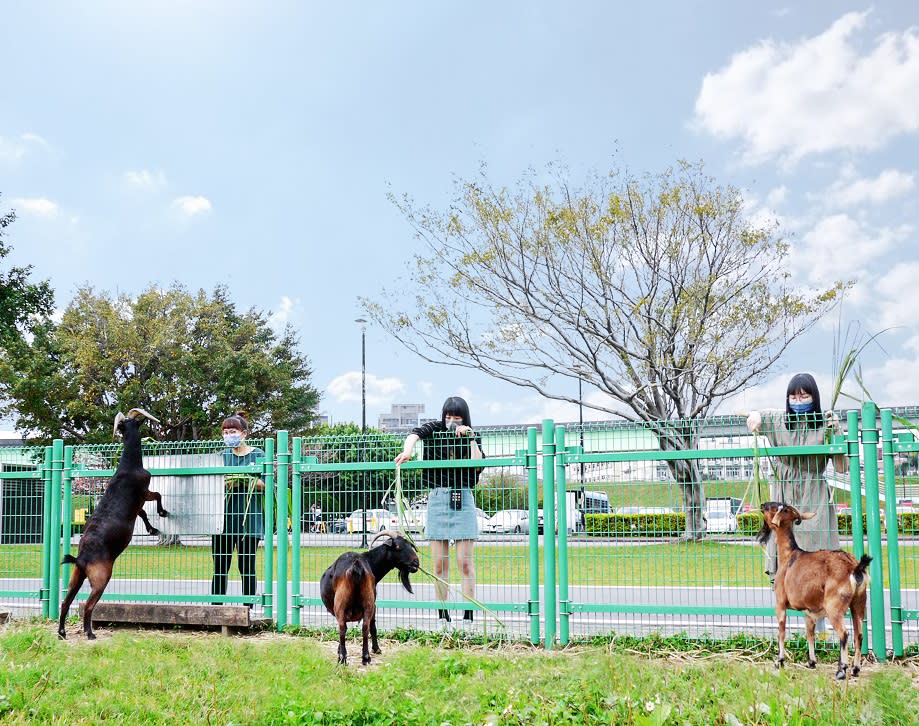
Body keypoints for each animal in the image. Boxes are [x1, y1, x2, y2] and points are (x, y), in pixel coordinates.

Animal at [57, 410, 168, 644]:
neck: (128, 465)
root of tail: (81, 558)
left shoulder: (138, 505)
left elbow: (143, 514)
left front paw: (152, 529)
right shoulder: (144, 492)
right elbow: (156, 497)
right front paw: (161, 517)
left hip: (76, 576)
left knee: (66, 602)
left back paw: (62, 633)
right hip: (100, 577)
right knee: (89, 605)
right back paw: (90, 633)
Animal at [320, 532, 420, 668]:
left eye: (410, 545)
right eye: (398, 547)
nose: (416, 563)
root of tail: (356, 567)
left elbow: (372, 626)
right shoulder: (373, 604)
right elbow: (372, 626)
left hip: (345, 606)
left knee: (345, 628)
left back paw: (345, 659)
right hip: (366, 604)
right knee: (363, 627)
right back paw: (364, 658)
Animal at [760, 504, 868, 680]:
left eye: (773, 507)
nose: (762, 505)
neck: (788, 556)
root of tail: (854, 568)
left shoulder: (780, 602)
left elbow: (781, 631)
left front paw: (779, 661)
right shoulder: (809, 611)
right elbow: (810, 633)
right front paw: (811, 662)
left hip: (834, 606)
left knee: (844, 634)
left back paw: (841, 670)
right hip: (859, 602)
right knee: (859, 634)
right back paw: (855, 669)